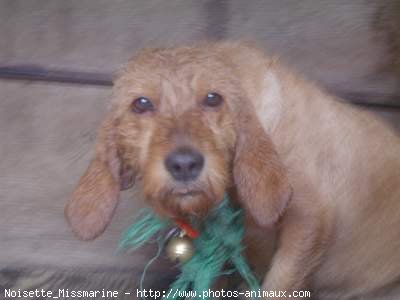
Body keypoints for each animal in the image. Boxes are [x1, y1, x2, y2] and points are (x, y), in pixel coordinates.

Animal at [65, 42, 400, 300]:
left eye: (213, 98)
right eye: (141, 103)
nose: (184, 164)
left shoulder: (309, 221)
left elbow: (278, 285)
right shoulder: (212, 247)